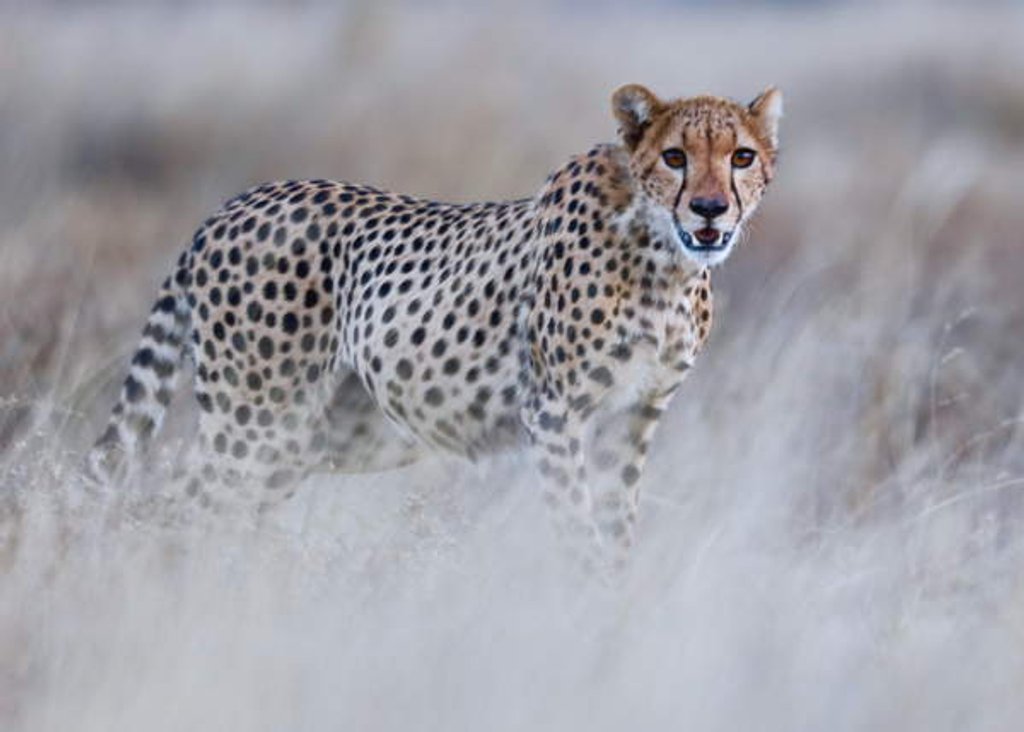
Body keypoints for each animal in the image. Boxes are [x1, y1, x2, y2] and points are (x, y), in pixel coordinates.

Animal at [88, 84, 783, 569]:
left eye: (742, 157)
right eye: (675, 157)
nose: (710, 208)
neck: (663, 260)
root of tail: (230, 206)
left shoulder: (632, 417)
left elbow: (615, 532)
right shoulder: (555, 413)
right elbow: (578, 533)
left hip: (310, 436)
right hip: (254, 420)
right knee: (180, 507)